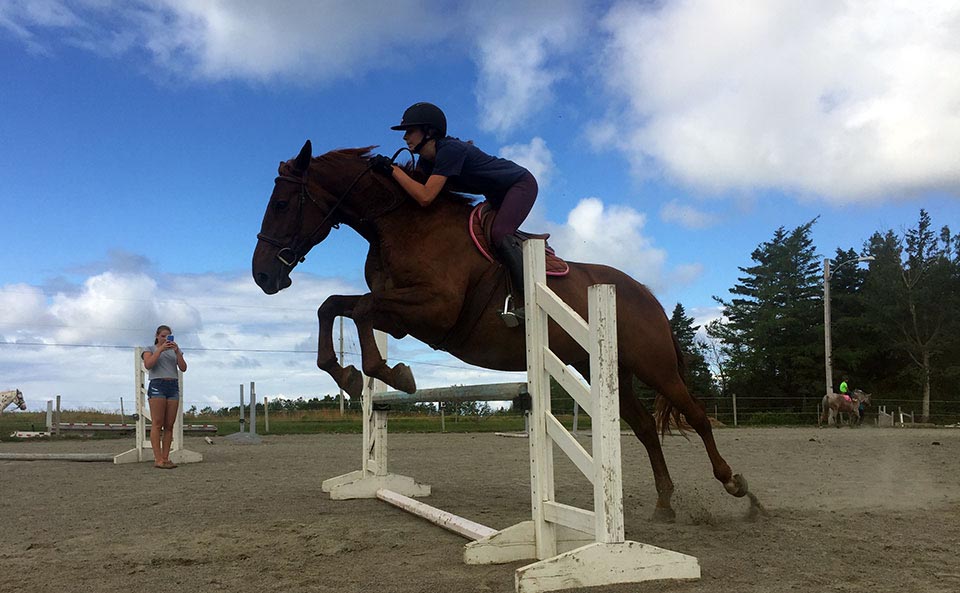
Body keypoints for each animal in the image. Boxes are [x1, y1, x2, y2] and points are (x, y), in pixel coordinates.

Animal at [251, 140, 752, 520]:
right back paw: (665, 503)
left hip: (655, 366)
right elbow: (336, 306)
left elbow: (360, 309)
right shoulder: (404, 316)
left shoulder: (434, 310)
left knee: (697, 416)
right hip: (604, 369)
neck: (399, 224)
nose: (263, 276)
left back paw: (736, 484)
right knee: (646, 427)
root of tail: (644, 294)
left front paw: (387, 373)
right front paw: (352, 375)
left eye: (281, 203)